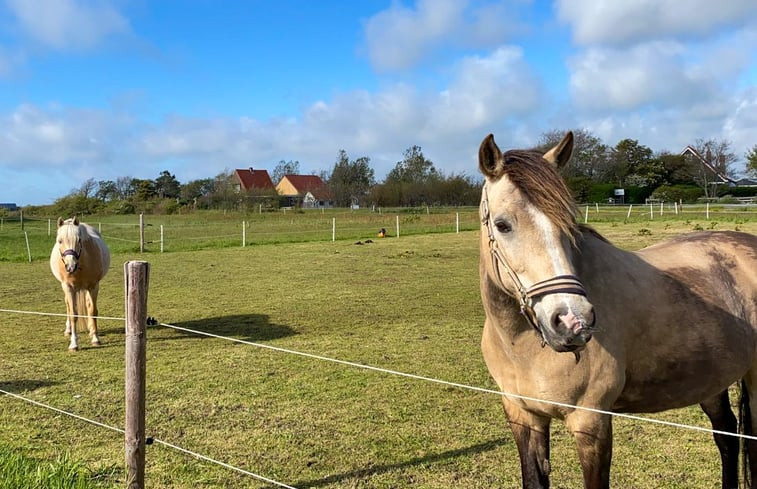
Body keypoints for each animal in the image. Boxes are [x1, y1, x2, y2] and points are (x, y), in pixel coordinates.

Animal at [48, 215, 110, 348]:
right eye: (59, 241)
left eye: (79, 240)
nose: (70, 266)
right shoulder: (68, 287)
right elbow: (73, 314)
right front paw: (74, 343)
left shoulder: (93, 286)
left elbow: (92, 311)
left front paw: (95, 338)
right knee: (68, 306)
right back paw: (68, 330)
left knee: (88, 304)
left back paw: (91, 330)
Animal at [478, 132, 756, 486]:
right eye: (503, 225)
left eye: (568, 223)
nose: (572, 321)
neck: (522, 347)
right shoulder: (524, 417)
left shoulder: (591, 424)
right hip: (711, 380)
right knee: (726, 436)